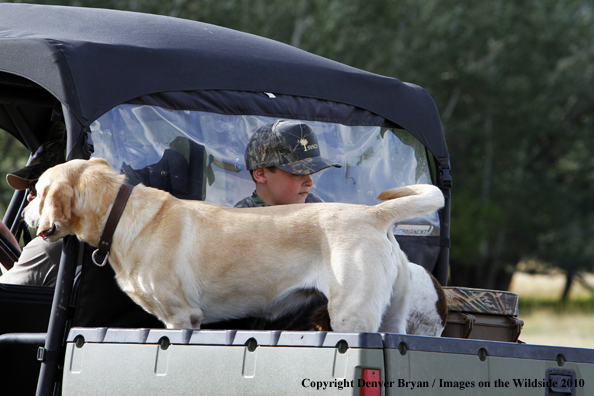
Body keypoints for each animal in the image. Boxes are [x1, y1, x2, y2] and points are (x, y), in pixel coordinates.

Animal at [25, 158, 442, 332]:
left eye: (38, 192)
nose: (26, 215)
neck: (121, 212)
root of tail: (376, 214)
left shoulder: (181, 316)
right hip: (393, 317)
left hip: (351, 317)